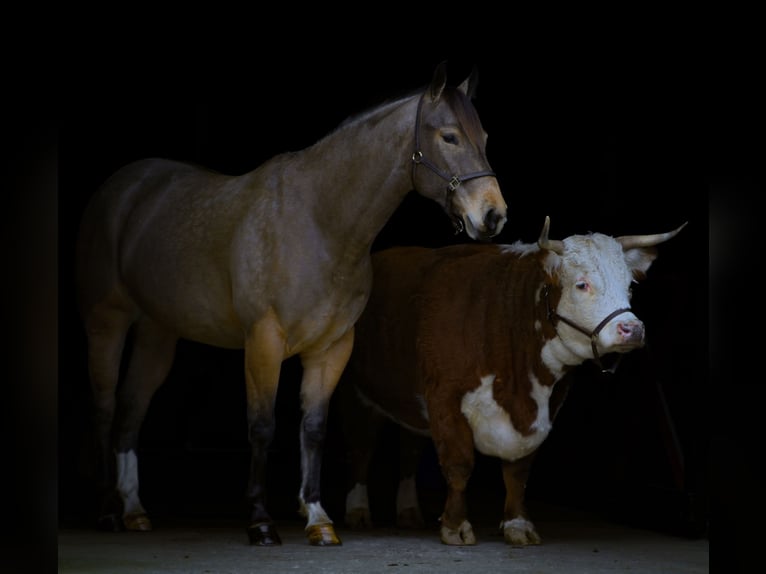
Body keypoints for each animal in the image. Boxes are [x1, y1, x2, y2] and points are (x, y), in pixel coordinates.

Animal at [75, 62, 510, 548]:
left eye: (484, 136)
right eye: (449, 137)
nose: (493, 215)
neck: (319, 222)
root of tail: (122, 188)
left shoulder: (331, 347)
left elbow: (314, 428)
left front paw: (318, 518)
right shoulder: (263, 340)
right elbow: (262, 426)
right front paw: (261, 522)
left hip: (156, 333)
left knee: (132, 409)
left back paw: (134, 510)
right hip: (107, 323)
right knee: (105, 405)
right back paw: (108, 512)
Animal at [340, 217, 688, 548]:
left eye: (629, 286)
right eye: (582, 284)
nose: (632, 329)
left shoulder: (545, 408)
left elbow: (518, 472)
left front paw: (518, 525)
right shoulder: (444, 397)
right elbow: (459, 464)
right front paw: (455, 526)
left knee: (409, 451)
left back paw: (409, 512)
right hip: (359, 395)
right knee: (362, 448)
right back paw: (358, 512)